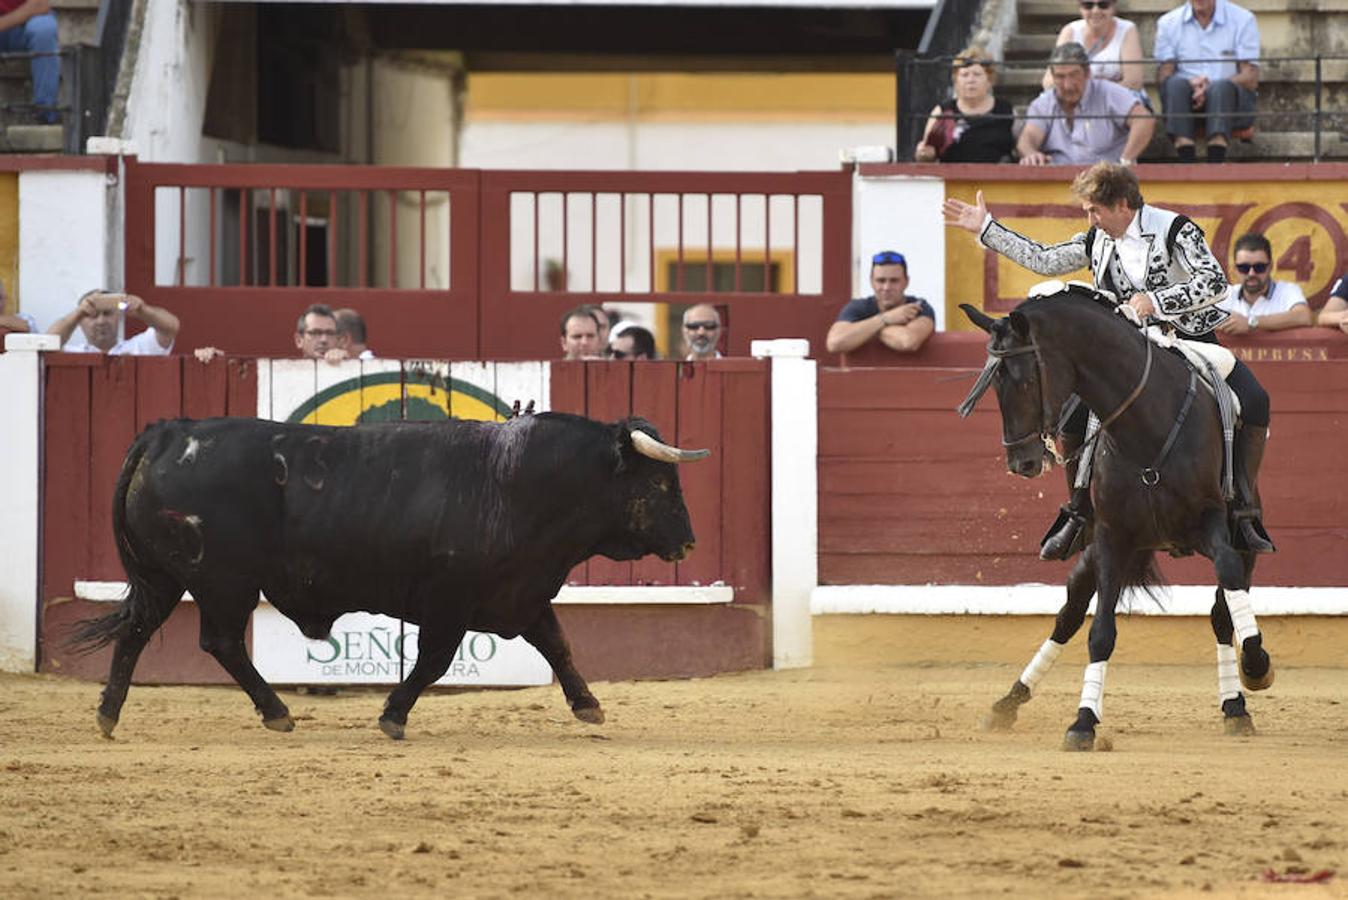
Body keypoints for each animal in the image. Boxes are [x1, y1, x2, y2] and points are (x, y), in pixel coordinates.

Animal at [73, 414, 711, 738]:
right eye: (659, 482)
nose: (687, 541)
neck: (517, 481)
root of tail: (164, 435)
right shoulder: (450, 599)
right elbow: (433, 661)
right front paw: (392, 716)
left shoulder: (522, 594)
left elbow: (559, 646)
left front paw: (588, 706)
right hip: (222, 580)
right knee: (221, 641)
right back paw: (277, 713)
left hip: (166, 577)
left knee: (137, 632)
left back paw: (108, 716)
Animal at [965, 284, 1267, 749]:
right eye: (993, 383)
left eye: (1024, 378)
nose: (1022, 462)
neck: (1146, 428)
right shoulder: (1112, 537)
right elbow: (1100, 631)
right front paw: (1083, 721)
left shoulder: (1213, 523)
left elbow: (1229, 583)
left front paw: (1256, 664)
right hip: (1097, 548)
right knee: (1070, 613)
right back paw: (1008, 702)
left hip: (1243, 537)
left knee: (1223, 612)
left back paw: (1236, 705)